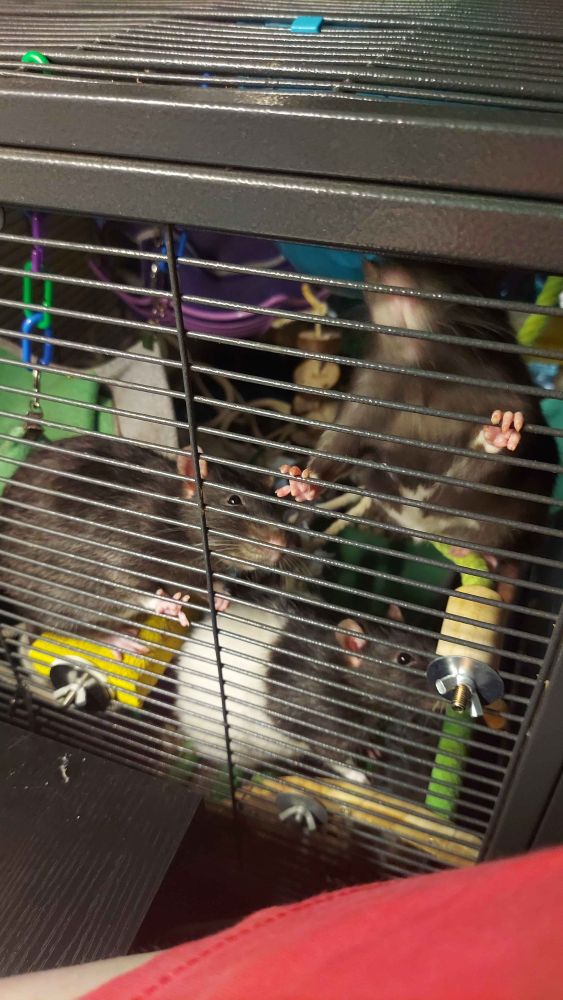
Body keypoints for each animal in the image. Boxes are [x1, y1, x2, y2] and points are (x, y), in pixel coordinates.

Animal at [0, 436, 290, 656]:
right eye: (233, 500)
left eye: (272, 503)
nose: (280, 544)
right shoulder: (116, 547)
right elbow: (128, 584)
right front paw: (164, 604)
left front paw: (220, 594)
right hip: (56, 599)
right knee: (73, 628)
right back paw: (116, 637)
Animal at [174, 596, 438, 793]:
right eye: (404, 659)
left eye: (427, 642)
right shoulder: (321, 722)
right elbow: (333, 755)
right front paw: (360, 776)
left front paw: (370, 748)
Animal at [277, 261, 557, 564]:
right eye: (376, 266)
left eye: (459, 272)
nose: (395, 277)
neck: (423, 372)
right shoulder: (368, 395)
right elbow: (341, 441)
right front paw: (305, 481)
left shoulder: (503, 387)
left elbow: (495, 461)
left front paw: (499, 431)